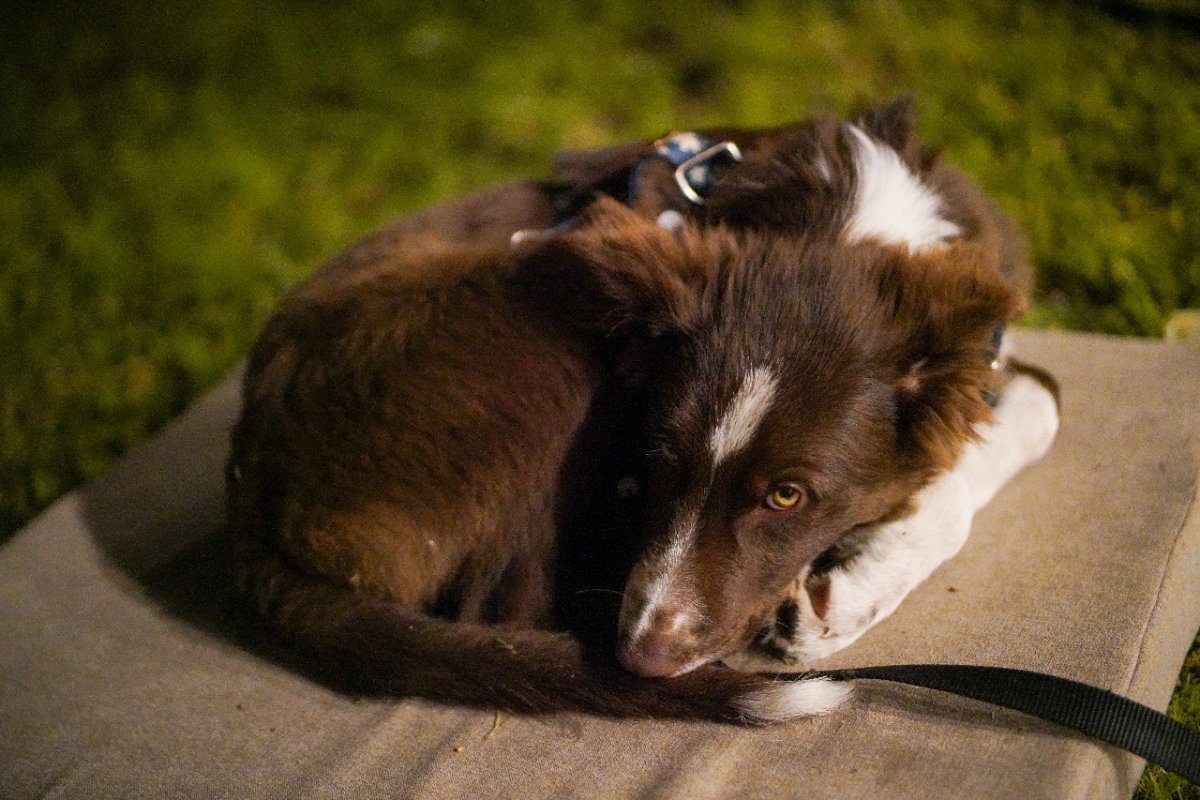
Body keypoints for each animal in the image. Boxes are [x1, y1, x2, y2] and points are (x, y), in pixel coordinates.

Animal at [228, 99, 1058, 723]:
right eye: (659, 459)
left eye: (788, 496)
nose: (645, 657)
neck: (846, 225)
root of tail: (254, 507)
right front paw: (848, 592)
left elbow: (1038, 406)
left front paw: (867, 569)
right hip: (537, 329)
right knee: (512, 605)